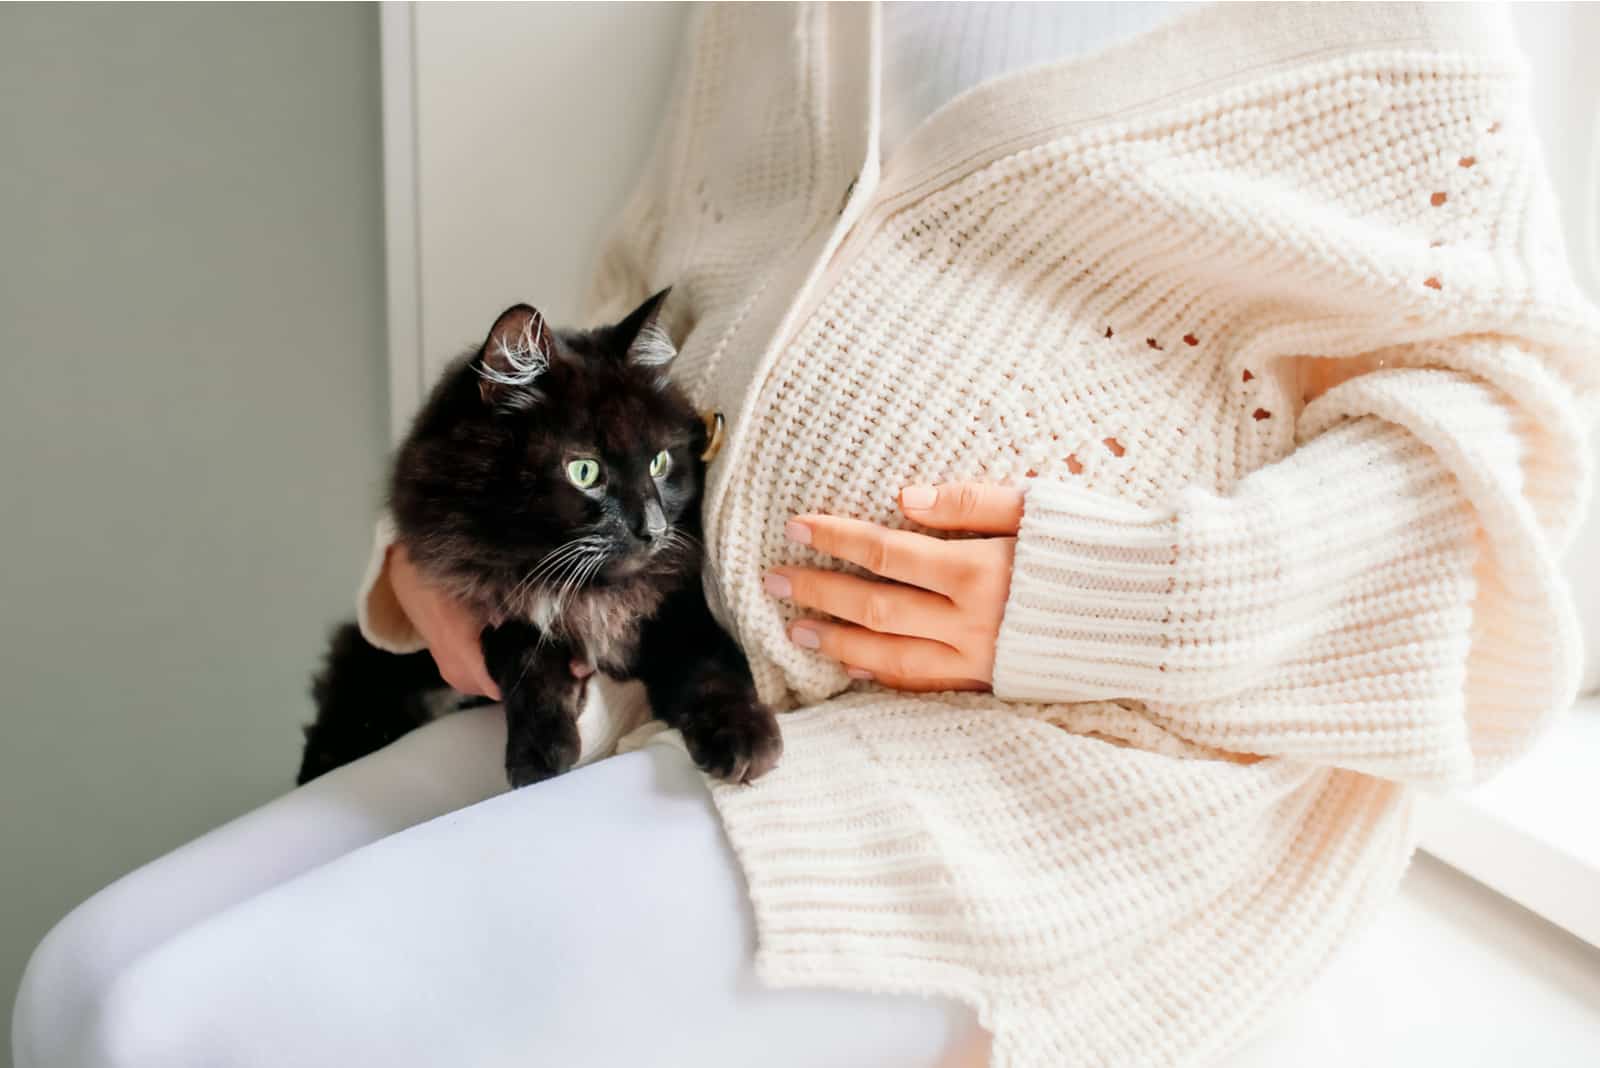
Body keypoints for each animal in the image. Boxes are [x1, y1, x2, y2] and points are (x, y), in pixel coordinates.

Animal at [300, 292, 780, 783]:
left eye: (659, 462)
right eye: (585, 471)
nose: (654, 528)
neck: (582, 591)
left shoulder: (678, 610)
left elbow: (710, 672)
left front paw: (744, 739)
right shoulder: (496, 608)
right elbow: (532, 668)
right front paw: (539, 754)